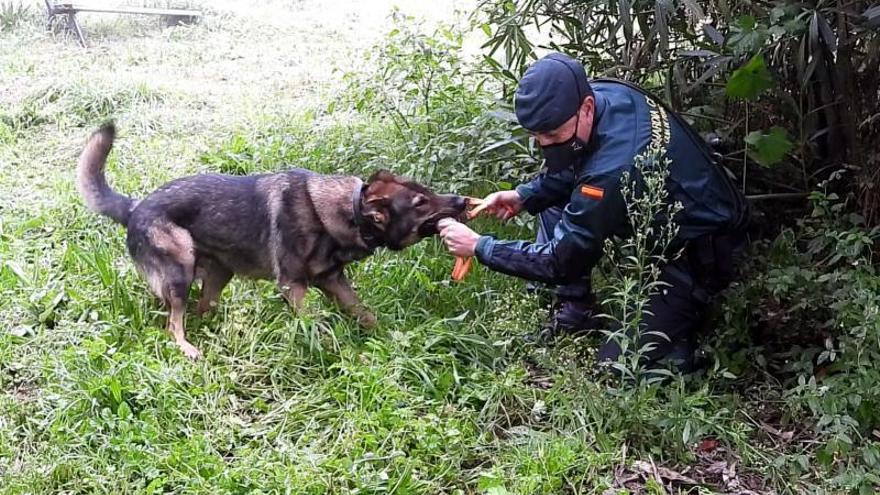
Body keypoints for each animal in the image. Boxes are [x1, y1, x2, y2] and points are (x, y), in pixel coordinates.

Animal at [79, 122, 468, 358]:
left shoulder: (334, 281)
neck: (350, 212)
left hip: (219, 275)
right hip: (181, 269)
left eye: (427, 191)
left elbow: (366, 314)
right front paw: (333, 349)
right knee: (172, 322)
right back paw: (187, 347)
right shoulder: (292, 286)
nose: (463, 201)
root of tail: (135, 206)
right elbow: (315, 323)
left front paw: (390, 340)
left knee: (200, 309)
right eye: (420, 203)